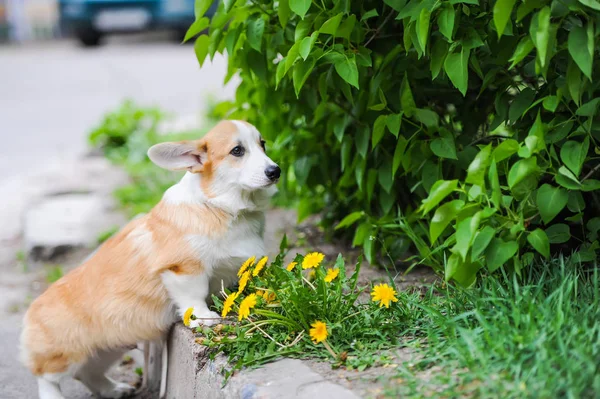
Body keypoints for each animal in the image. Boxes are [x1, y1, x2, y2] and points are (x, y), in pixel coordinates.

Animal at [20, 120, 278, 398]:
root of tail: (30, 312)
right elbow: (194, 294)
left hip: (111, 345)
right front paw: (204, 316)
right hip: (65, 353)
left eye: (262, 144)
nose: (276, 171)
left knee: (87, 372)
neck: (218, 205)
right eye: (237, 151)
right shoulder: (183, 268)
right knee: (47, 377)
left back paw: (113, 389)